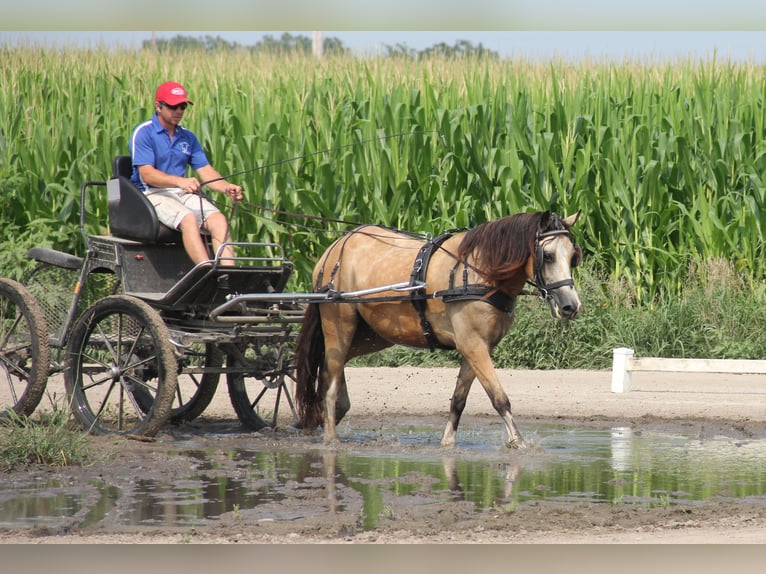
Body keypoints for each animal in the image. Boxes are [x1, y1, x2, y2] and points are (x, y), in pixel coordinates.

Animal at [294, 210, 584, 450]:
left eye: (573, 256)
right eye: (548, 256)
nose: (571, 306)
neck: (479, 273)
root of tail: (333, 249)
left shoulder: (477, 348)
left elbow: (458, 400)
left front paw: (447, 444)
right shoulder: (473, 346)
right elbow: (499, 397)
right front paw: (519, 443)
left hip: (370, 335)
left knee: (331, 369)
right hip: (339, 326)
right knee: (330, 376)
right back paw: (330, 437)